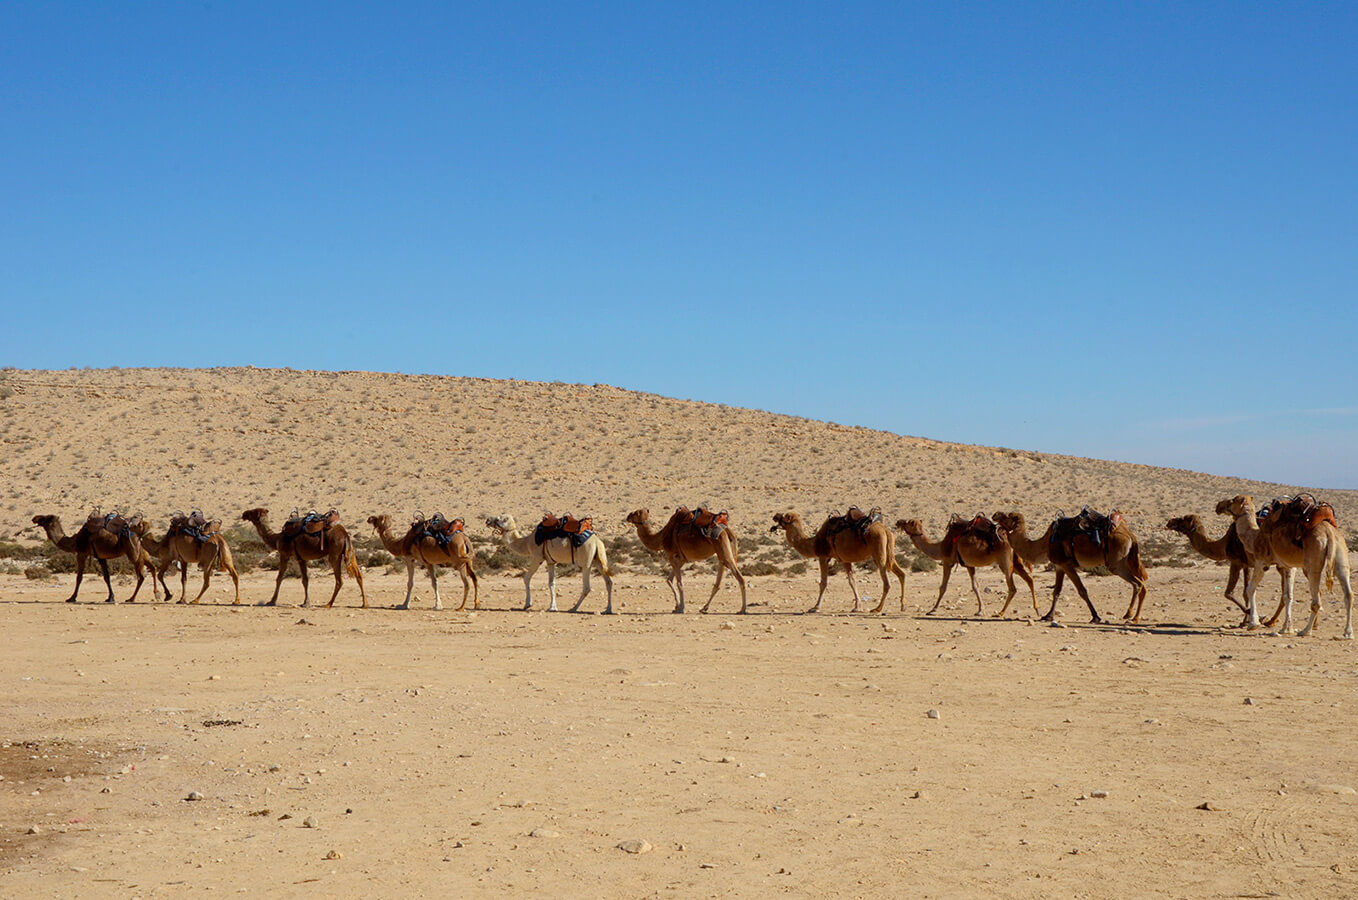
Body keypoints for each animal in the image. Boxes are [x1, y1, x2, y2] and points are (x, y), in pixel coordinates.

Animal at [484, 515, 614, 613]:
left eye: (499, 518)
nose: (488, 520)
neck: (527, 542)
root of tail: (597, 541)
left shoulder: (537, 558)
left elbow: (526, 578)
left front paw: (527, 604)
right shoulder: (551, 562)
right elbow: (551, 583)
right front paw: (552, 607)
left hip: (586, 561)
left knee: (587, 587)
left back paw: (573, 608)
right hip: (598, 560)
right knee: (609, 582)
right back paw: (607, 610)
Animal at [769, 511, 906, 613]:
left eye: (784, 517)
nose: (775, 515)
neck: (814, 543)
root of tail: (886, 531)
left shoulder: (823, 556)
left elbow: (823, 583)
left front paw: (815, 607)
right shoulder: (845, 560)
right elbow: (852, 581)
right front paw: (857, 607)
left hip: (878, 552)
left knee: (887, 582)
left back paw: (877, 608)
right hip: (889, 553)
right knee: (901, 574)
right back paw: (902, 605)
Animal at [896, 518, 1036, 617]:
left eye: (908, 522)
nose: (898, 522)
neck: (940, 547)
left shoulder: (947, 561)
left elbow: (943, 587)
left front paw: (932, 609)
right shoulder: (969, 565)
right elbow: (975, 586)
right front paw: (980, 611)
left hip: (1005, 561)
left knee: (1012, 587)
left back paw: (1001, 613)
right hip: (1016, 563)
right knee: (1030, 580)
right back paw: (1037, 610)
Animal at [1217, 495, 1352, 638]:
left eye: (1232, 501)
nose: (1219, 506)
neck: (1254, 537)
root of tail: (1329, 533)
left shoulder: (1261, 562)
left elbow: (1250, 589)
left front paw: (1253, 623)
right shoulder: (1288, 567)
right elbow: (1288, 596)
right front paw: (1286, 628)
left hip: (1313, 561)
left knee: (1316, 600)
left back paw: (1306, 630)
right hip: (1341, 554)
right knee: (1348, 594)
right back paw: (1348, 633)